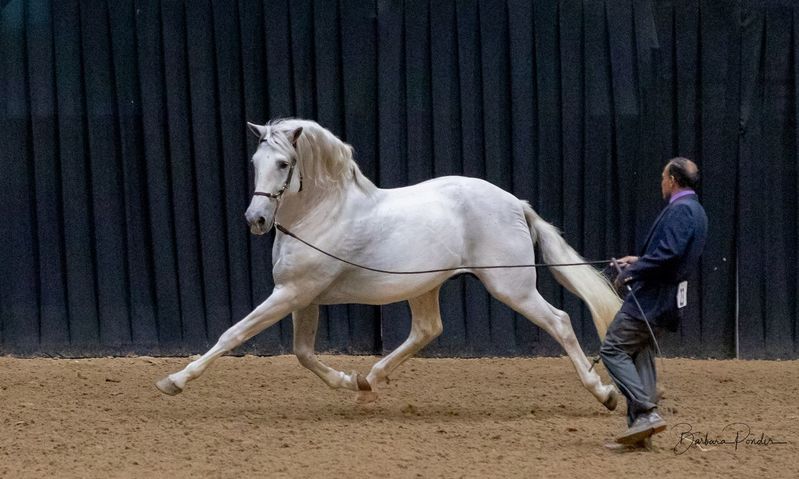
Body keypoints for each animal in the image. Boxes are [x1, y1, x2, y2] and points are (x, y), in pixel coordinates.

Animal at [156, 118, 621, 410]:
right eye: (255, 163)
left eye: (284, 164)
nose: (255, 220)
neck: (321, 215)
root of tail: (514, 203)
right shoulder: (304, 298)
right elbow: (303, 353)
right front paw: (348, 382)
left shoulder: (290, 293)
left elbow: (233, 334)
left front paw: (173, 381)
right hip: (425, 286)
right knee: (427, 330)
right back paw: (367, 383)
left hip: (513, 288)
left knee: (560, 321)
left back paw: (604, 393)